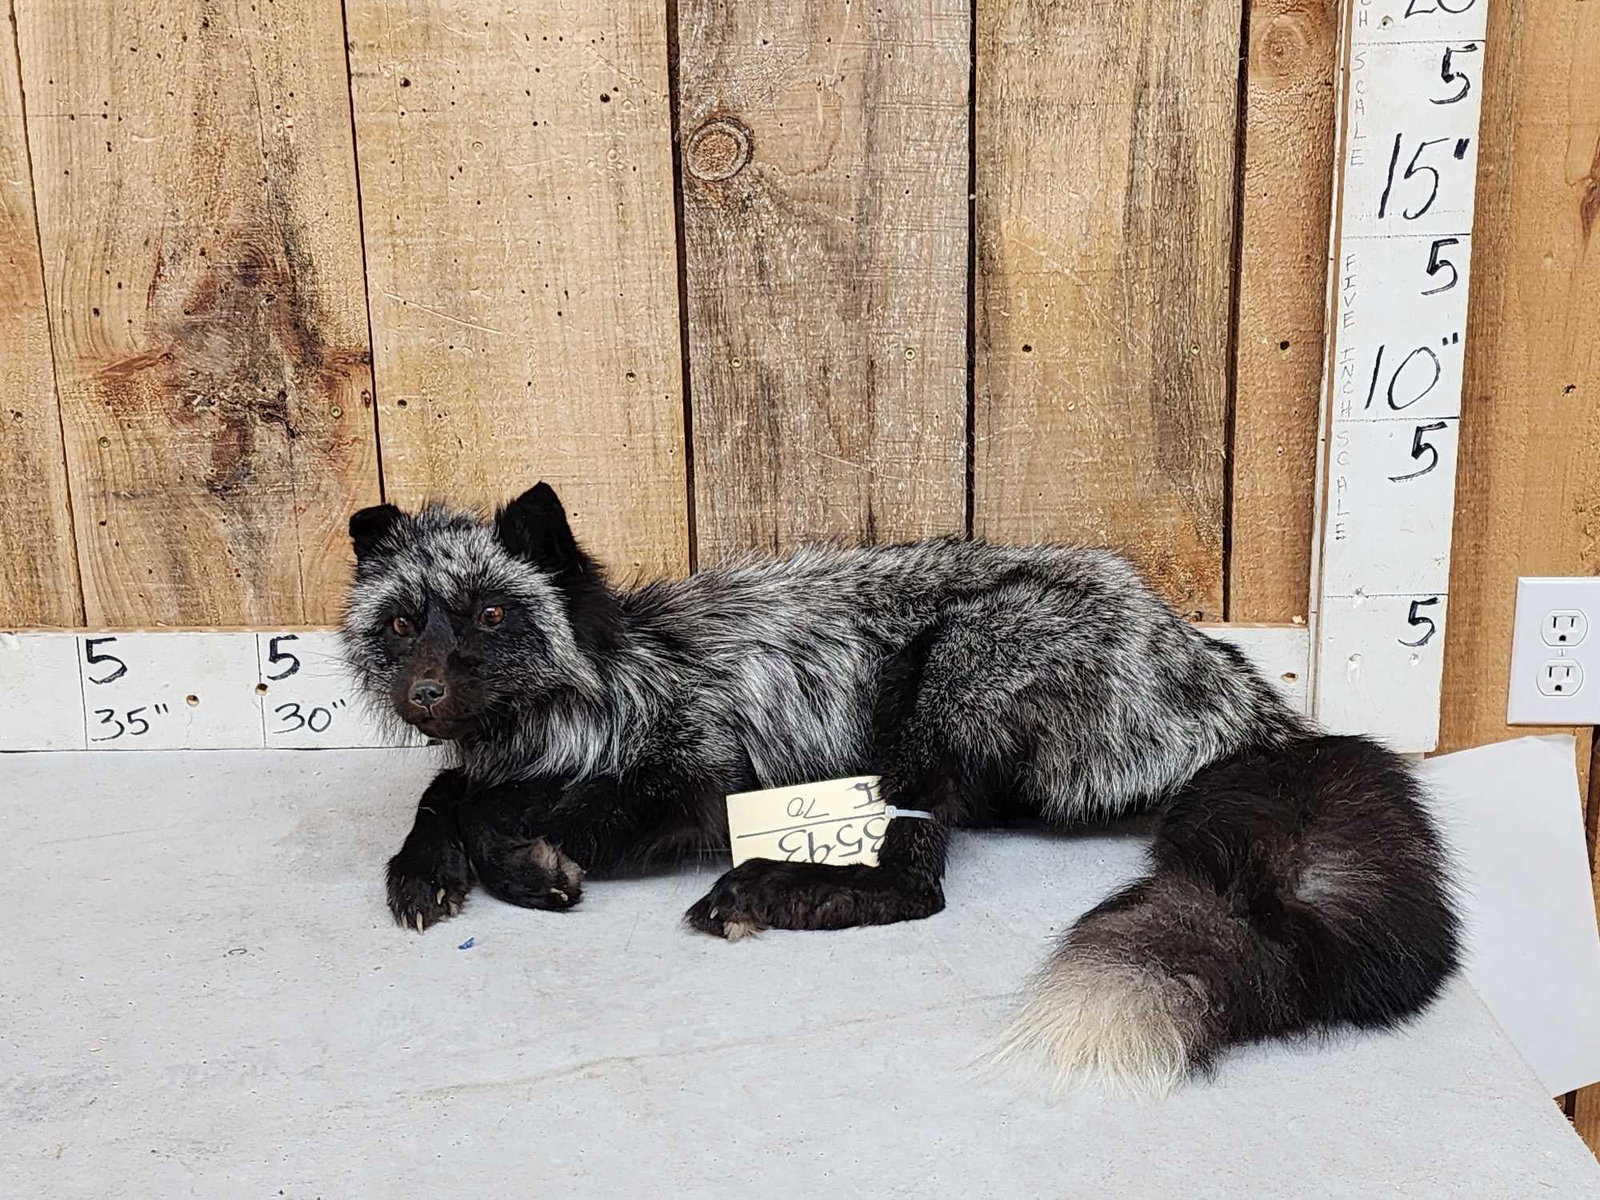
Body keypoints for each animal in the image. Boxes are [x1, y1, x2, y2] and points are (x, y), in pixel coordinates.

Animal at [340, 481, 1460, 1094]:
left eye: (491, 615)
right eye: (399, 625)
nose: (424, 691)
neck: (605, 682)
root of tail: (1228, 684)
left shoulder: (695, 775)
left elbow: (536, 818)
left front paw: (527, 866)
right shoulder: (512, 767)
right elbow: (446, 796)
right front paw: (424, 871)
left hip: (946, 685)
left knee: (918, 888)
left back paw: (764, 891)